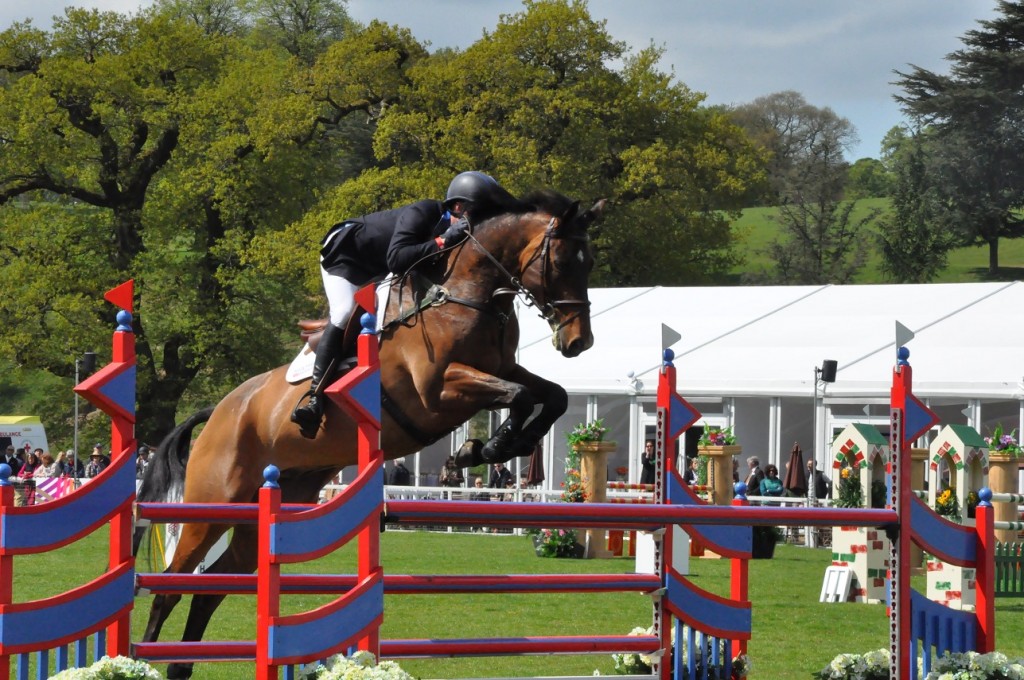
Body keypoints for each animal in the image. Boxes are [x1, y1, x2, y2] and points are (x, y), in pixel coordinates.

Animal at [132, 188, 602, 675]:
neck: (462, 294)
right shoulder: (439, 390)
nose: (578, 342)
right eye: (562, 261)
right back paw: (143, 657)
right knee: (169, 585)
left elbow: (551, 395)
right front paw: (486, 446)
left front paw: (494, 445)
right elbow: (520, 396)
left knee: (211, 587)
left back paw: (181, 665)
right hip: (211, 508)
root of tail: (220, 410)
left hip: (267, 513)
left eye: (589, 262)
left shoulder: (502, 369)